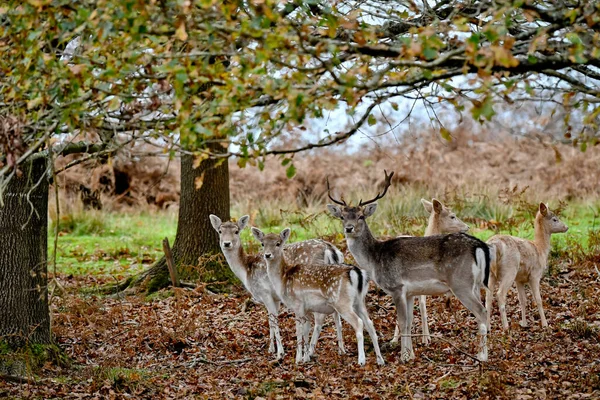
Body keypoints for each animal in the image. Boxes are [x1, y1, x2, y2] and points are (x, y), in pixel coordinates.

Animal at [210, 214, 346, 360]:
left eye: (236, 231)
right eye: (220, 231)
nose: (226, 243)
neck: (246, 271)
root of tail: (331, 251)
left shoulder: (265, 292)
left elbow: (274, 320)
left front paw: (280, 352)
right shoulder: (276, 297)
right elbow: (270, 321)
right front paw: (271, 349)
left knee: (320, 320)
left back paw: (310, 352)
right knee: (337, 316)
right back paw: (341, 350)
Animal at [252, 225, 384, 366]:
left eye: (278, 243)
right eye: (262, 243)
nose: (267, 255)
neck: (283, 279)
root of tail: (357, 273)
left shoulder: (297, 304)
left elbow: (298, 331)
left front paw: (298, 360)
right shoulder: (307, 309)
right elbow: (306, 331)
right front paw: (306, 358)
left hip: (342, 302)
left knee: (358, 323)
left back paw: (361, 360)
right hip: (359, 300)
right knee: (369, 323)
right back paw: (380, 360)